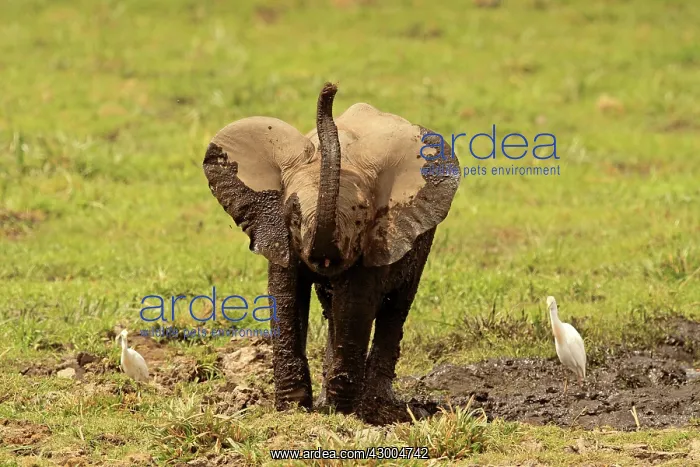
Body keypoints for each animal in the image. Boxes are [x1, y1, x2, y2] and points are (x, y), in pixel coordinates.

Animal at [202, 82, 460, 422]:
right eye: (293, 215)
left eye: (362, 218)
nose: (330, 88)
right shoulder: (280, 235)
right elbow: (287, 296)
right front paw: (294, 408)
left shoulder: (375, 238)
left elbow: (355, 303)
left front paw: (341, 413)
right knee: (333, 309)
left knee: (395, 308)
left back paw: (376, 406)